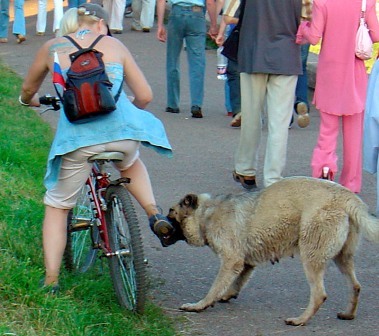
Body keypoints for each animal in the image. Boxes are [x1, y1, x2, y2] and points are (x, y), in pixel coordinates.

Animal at [167, 177, 379, 326]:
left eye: (171, 212)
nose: (160, 222)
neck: (207, 212)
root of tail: (348, 196)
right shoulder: (245, 263)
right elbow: (236, 282)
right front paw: (227, 294)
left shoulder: (231, 260)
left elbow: (214, 287)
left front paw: (200, 305)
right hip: (343, 258)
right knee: (356, 286)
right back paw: (348, 313)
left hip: (311, 257)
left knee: (319, 294)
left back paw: (300, 320)